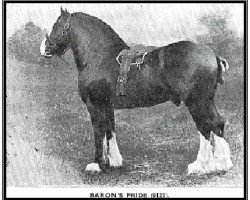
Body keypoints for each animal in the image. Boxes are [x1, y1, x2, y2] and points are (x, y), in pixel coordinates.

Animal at [40, 7, 233, 173]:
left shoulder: (94, 105)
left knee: (205, 126)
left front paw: (97, 164)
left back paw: (199, 166)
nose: (44, 48)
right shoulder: (107, 105)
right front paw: (114, 161)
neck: (99, 57)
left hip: (196, 102)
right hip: (207, 100)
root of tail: (213, 55)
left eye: (57, 25)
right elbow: (110, 130)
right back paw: (221, 163)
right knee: (217, 123)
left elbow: (99, 131)